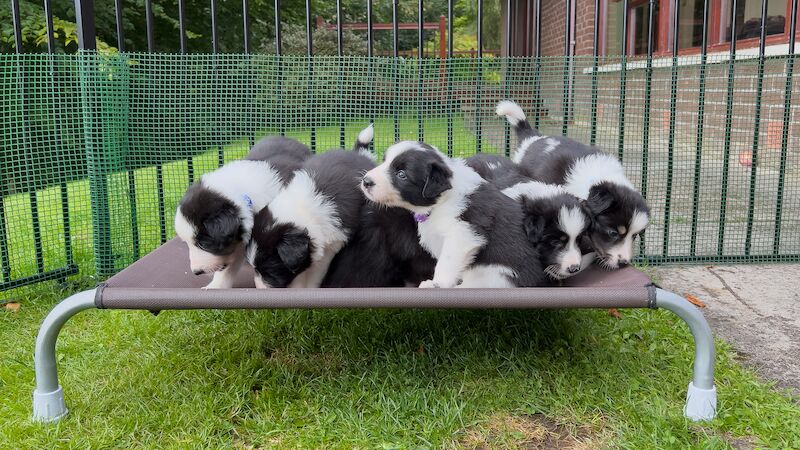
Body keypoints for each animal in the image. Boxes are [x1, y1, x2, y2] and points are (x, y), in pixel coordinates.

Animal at [360, 142, 544, 288]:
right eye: (384, 161)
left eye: (401, 174)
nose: (366, 181)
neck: (441, 201)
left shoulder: (463, 233)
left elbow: (446, 262)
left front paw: (437, 284)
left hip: (496, 277)